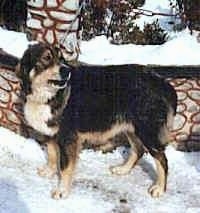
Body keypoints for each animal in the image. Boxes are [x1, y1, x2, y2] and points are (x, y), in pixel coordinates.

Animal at [16, 42, 177, 200]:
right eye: (46, 58)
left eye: (61, 58)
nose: (66, 71)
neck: (49, 96)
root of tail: (162, 82)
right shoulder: (49, 134)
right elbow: (51, 155)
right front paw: (49, 171)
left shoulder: (68, 138)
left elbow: (65, 168)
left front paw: (62, 191)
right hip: (131, 128)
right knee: (138, 150)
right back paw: (123, 170)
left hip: (147, 131)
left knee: (162, 159)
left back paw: (159, 188)